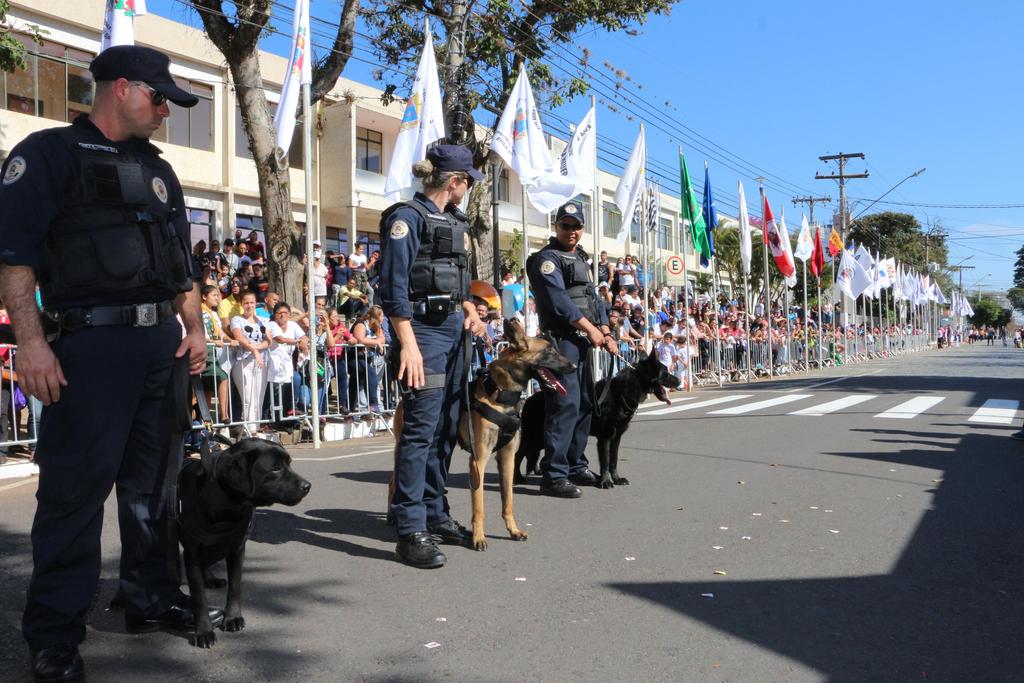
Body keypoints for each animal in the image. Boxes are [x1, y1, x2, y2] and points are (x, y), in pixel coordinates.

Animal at [178, 438, 309, 647]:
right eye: (275, 468)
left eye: (289, 463)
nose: (307, 486)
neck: (226, 507)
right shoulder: (193, 556)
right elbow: (199, 599)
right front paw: (204, 632)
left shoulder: (237, 549)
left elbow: (235, 587)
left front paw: (232, 618)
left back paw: (211, 579)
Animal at [389, 319, 573, 548]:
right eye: (548, 351)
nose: (574, 366)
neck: (499, 394)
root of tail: (402, 400)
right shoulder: (478, 462)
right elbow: (479, 506)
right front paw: (478, 537)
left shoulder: (507, 458)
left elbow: (508, 500)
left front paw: (513, 530)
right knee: (393, 481)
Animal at [520, 352, 679, 491]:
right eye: (665, 373)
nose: (678, 381)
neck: (622, 392)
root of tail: (528, 400)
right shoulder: (605, 438)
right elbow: (605, 462)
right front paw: (606, 481)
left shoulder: (616, 437)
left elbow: (613, 460)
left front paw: (617, 479)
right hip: (534, 438)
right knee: (520, 454)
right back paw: (518, 478)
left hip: (541, 439)